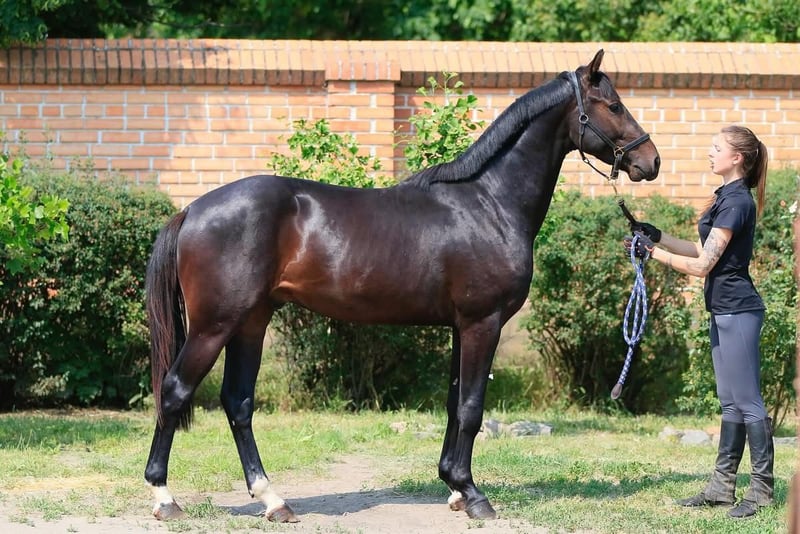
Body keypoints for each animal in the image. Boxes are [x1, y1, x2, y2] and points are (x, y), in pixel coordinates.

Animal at [143, 49, 660, 523]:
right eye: (613, 105)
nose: (650, 161)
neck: (489, 202)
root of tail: (191, 209)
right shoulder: (483, 323)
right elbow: (471, 407)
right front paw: (474, 496)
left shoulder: (460, 327)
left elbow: (453, 403)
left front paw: (454, 487)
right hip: (214, 326)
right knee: (174, 391)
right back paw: (165, 499)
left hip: (251, 322)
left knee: (238, 403)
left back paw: (274, 501)